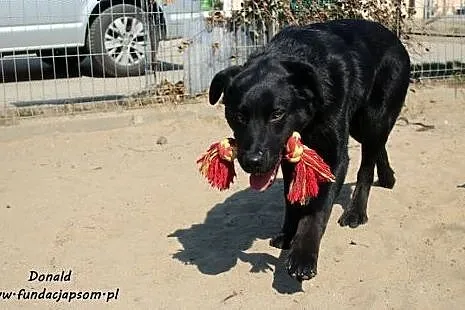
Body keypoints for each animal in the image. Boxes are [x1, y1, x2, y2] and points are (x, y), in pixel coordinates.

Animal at [208, 18, 408, 280]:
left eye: (277, 114)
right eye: (239, 116)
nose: (252, 161)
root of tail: (393, 37)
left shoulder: (333, 157)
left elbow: (316, 210)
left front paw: (303, 255)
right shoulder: (287, 156)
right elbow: (291, 199)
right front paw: (288, 234)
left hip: (374, 118)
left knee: (367, 165)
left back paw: (356, 211)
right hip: (360, 125)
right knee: (377, 147)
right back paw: (387, 177)